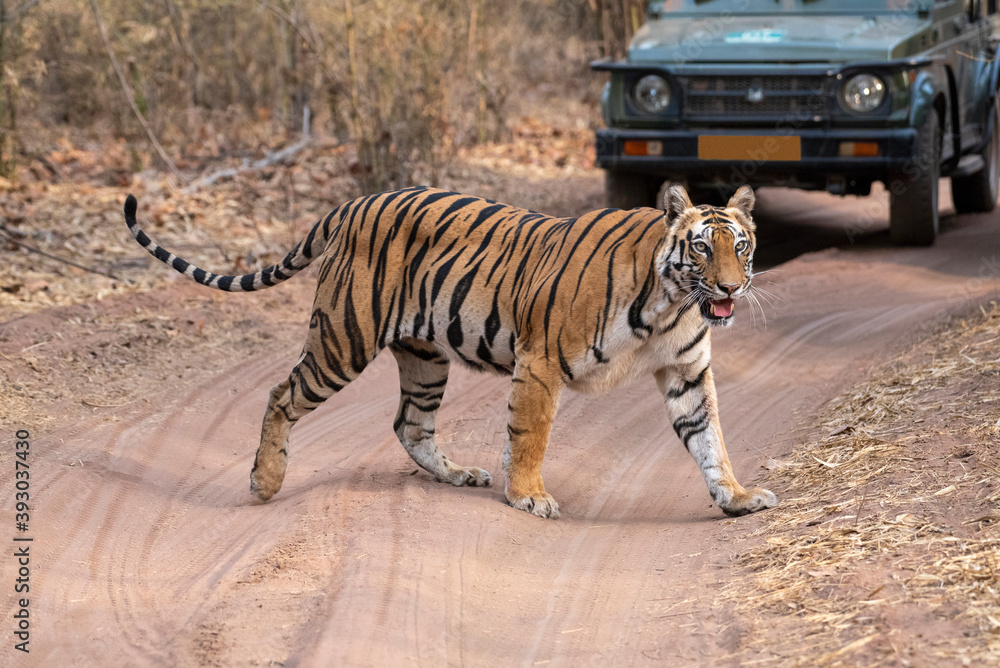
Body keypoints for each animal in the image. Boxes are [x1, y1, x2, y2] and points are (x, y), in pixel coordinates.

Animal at [123, 183, 777, 519]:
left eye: (740, 247)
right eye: (701, 248)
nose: (729, 288)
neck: (670, 304)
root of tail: (354, 202)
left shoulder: (686, 373)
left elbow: (709, 439)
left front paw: (736, 497)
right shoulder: (540, 362)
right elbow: (531, 433)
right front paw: (529, 495)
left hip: (424, 356)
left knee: (409, 424)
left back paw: (459, 473)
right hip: (343, 338)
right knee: (282, 393)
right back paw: (265, 482)